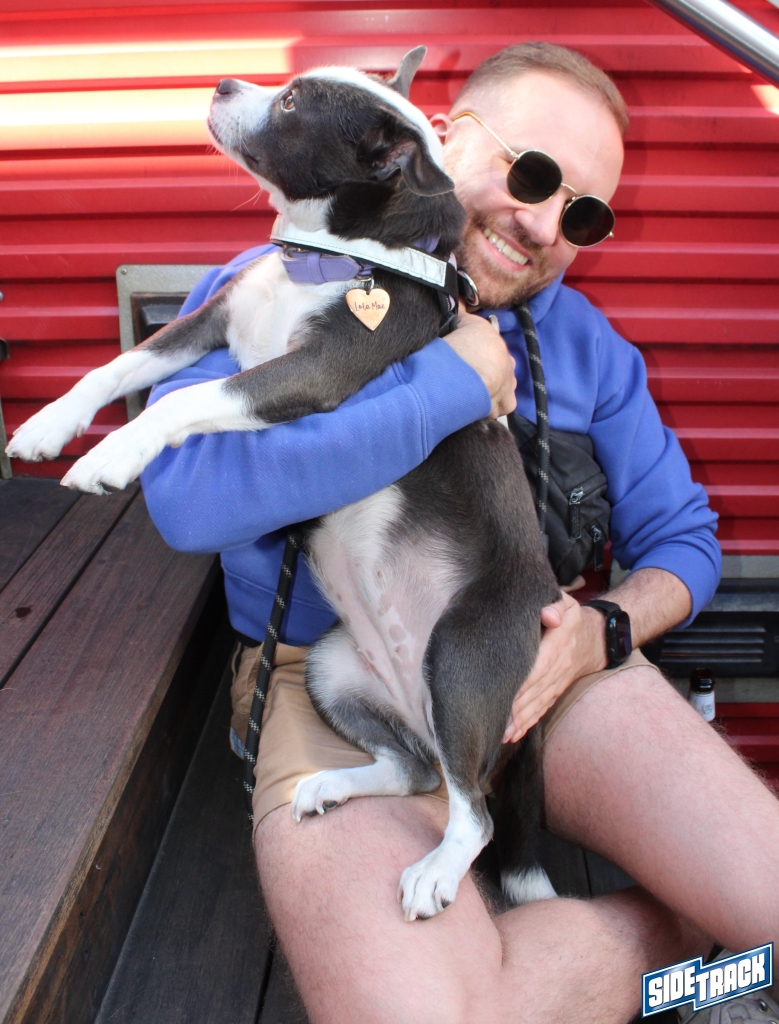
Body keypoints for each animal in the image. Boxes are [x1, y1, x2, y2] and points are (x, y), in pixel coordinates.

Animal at [7, 48, 561, 922]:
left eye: (294, 102)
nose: (224, 80)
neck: (329, 257)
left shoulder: (312, 373)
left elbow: (191, 400)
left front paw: (112, 455)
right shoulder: (205, 324)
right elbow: (119, 366)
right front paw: (50, 425)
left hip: (461, 656)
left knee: (472, 807)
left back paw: (437, 869)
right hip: (338, 672)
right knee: (415, 769)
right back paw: (333, 783)